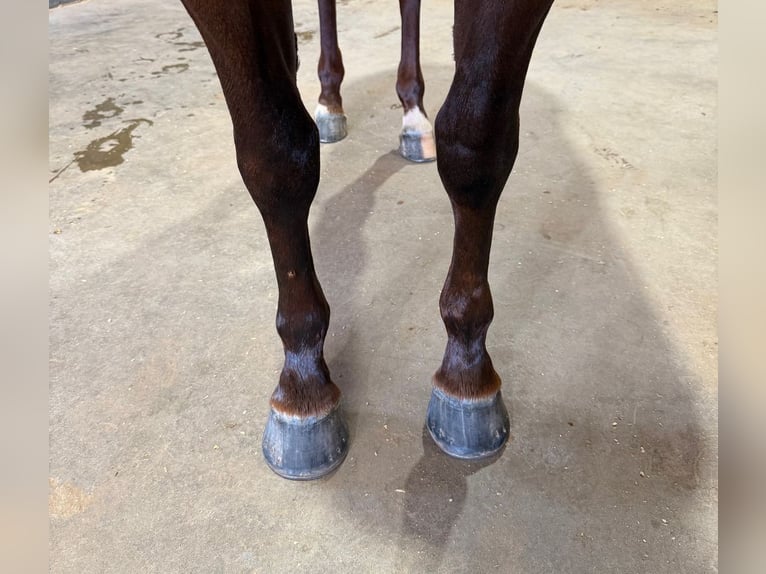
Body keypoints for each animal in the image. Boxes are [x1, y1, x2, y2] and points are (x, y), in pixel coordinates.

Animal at [179, 0, 554, 480]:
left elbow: (475, 141)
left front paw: (466, 374)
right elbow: (275, 155)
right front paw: (303, 387)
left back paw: (413, 116)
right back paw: (329, 104)